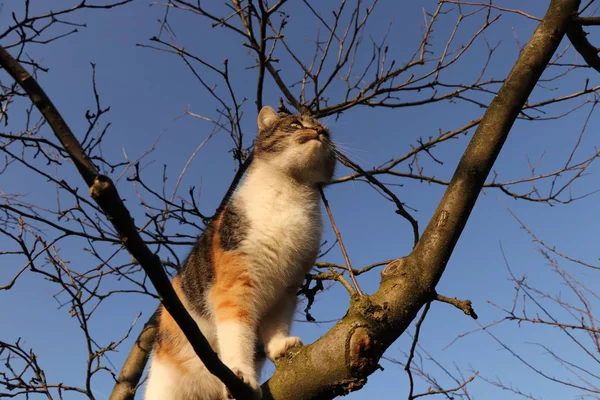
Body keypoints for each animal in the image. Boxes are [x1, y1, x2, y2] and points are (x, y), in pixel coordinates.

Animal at [144, 104, 336, 398]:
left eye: (325, 131)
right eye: (294, 125)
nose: (317, 131)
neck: (290, 192)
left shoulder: (287, 288)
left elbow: (276, 323)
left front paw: (279, 346)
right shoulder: (234, 285)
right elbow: (238, 333)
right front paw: (242, 374)